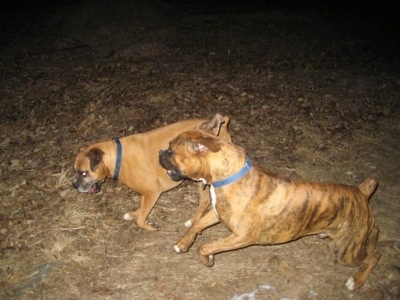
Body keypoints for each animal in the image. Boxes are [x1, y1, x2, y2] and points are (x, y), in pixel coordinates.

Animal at [72, 113, 231, 231]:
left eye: (84, 173)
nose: (74, 185)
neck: (117, 158)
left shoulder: (153, 192)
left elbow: (141, 219)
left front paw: (149, 226)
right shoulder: (146, 193)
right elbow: (142, 208)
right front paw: (132, 214)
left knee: (205, 201)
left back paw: (192, 221)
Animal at [159, 125, 382, 290]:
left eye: (171, 151)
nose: (160, 152)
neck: (229, 176)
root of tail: (361, 191)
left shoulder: (243, 236)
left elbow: (205, 246)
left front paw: (208, 259)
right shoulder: (218, 212)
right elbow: (196, 225)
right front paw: (183, 243)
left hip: (346, 252)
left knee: (374, 255)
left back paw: (357, 281)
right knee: (374, 234)